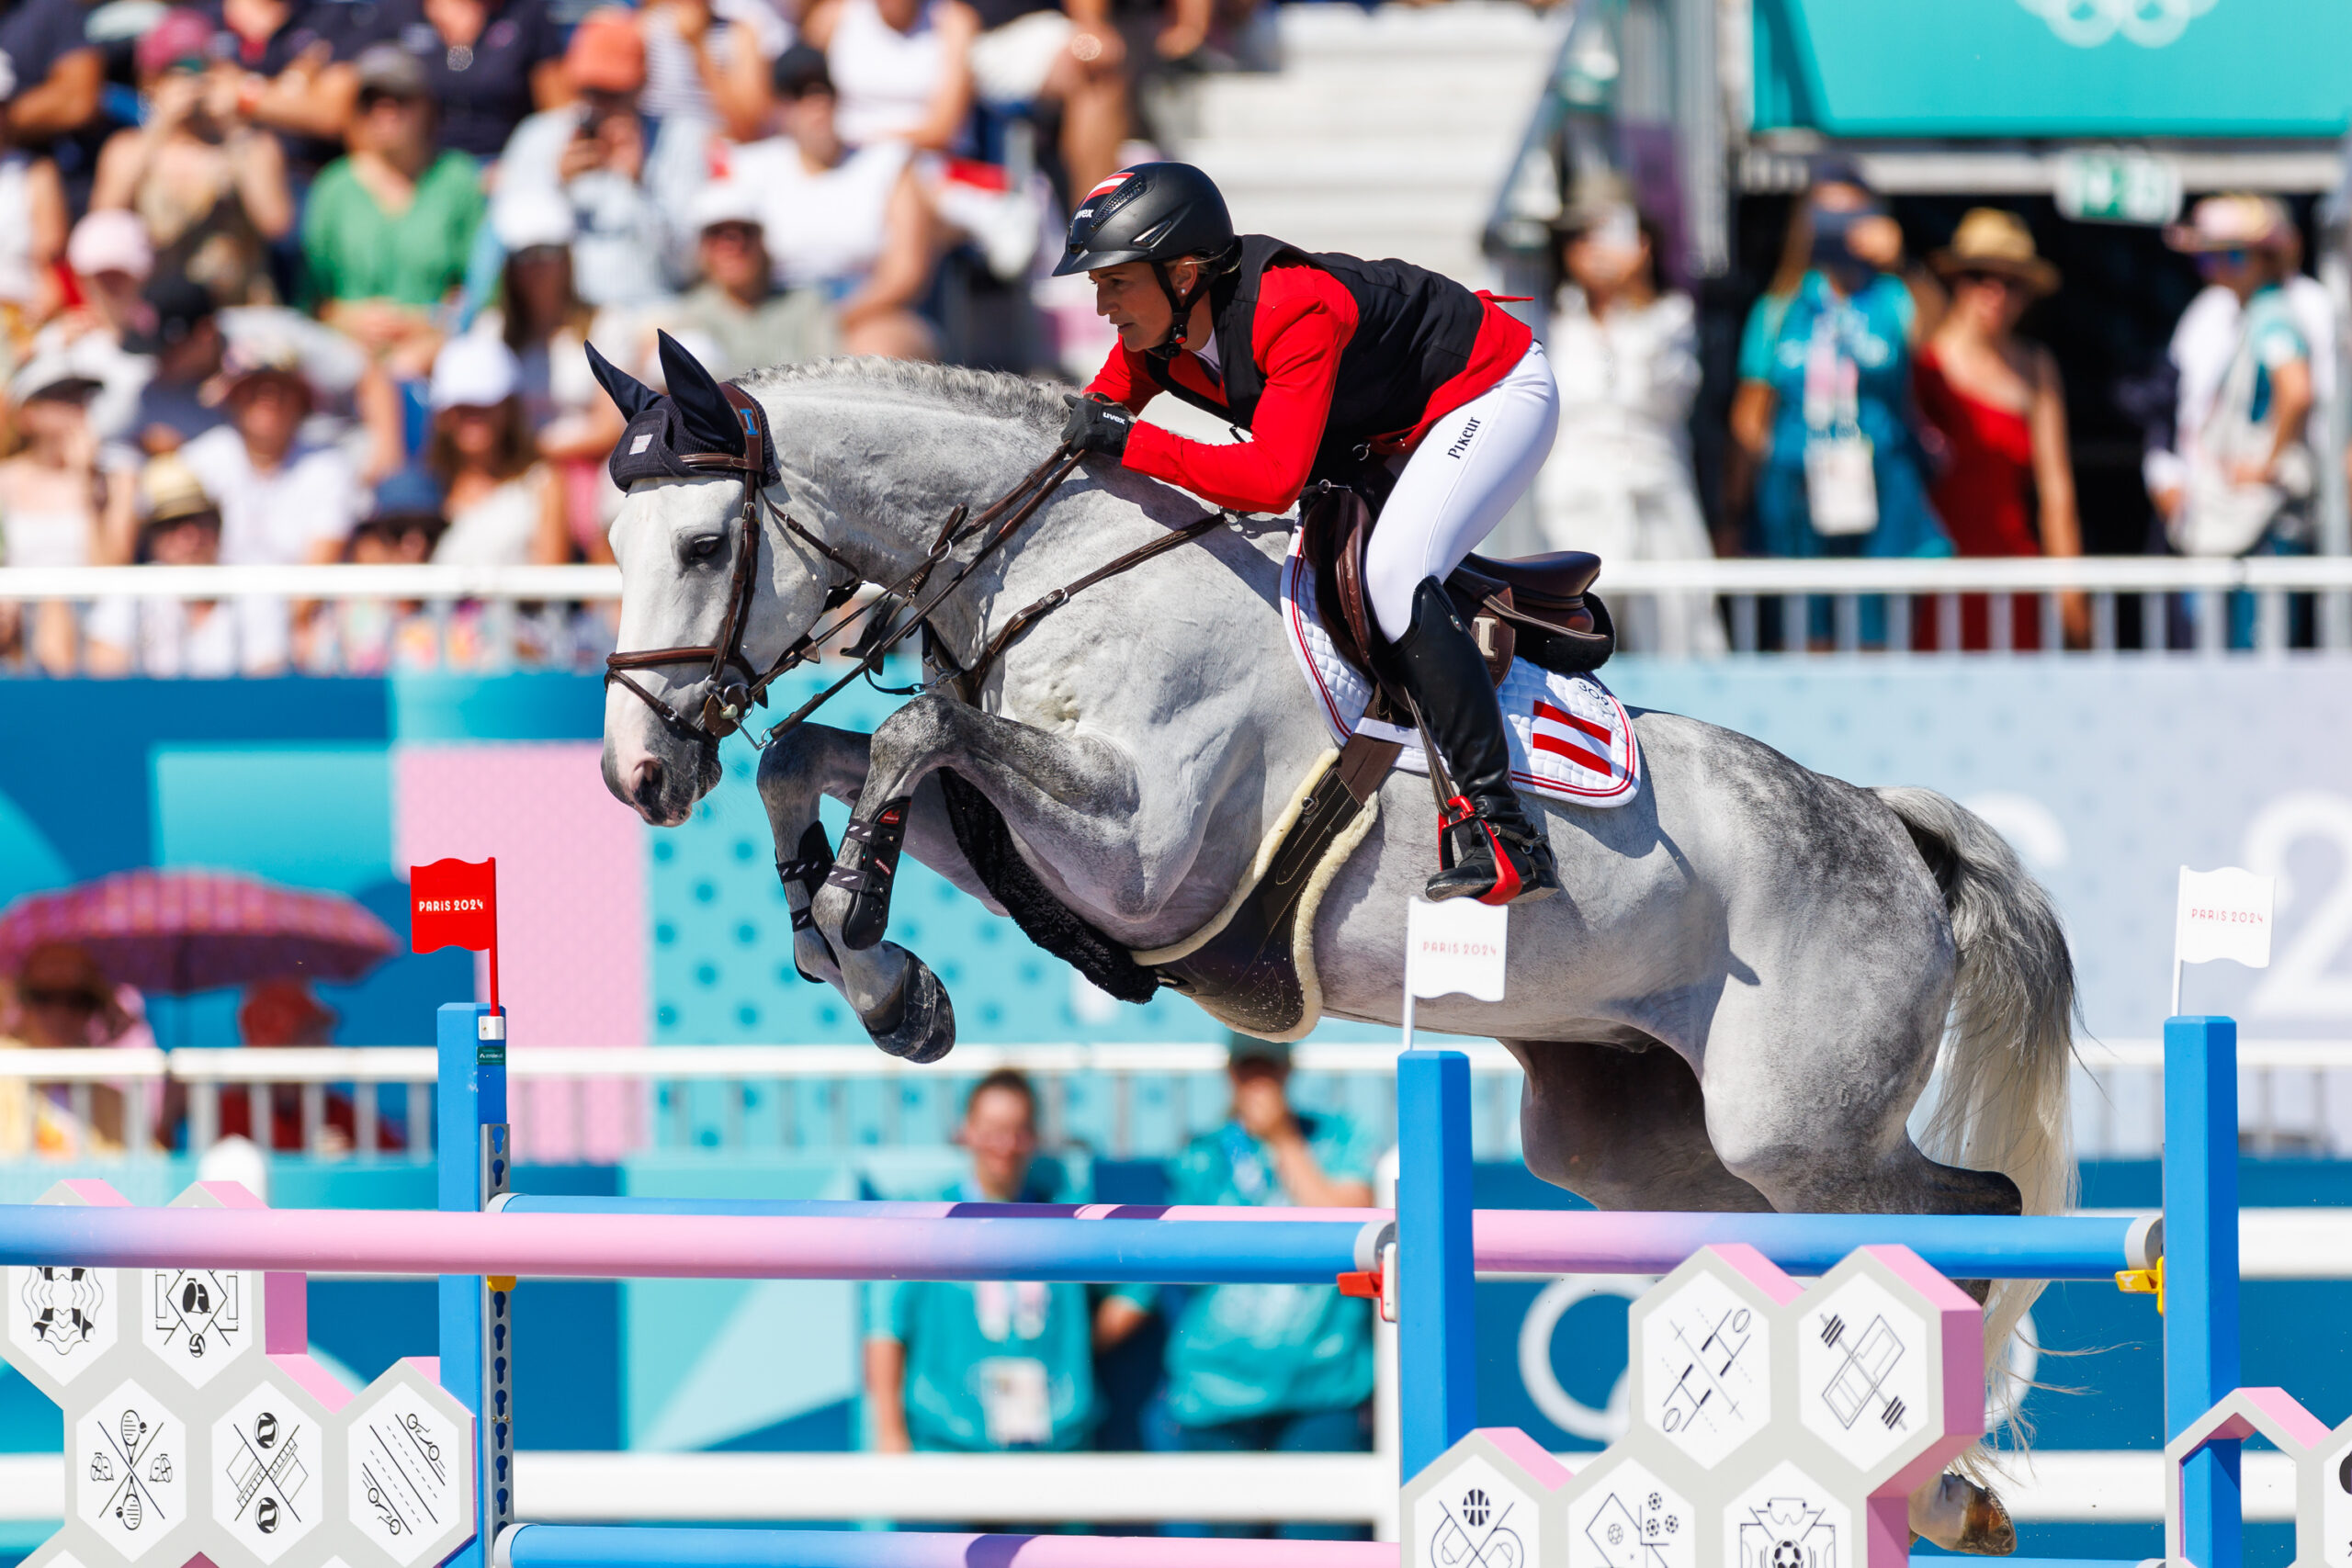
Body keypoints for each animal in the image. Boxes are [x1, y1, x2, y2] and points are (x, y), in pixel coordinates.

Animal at [602, 352, 2079, 1541]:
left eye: (700, 544)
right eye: (612, 542)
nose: (635, 776)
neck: (1055, 568)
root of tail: (1886, 823)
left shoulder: (1143, 856)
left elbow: (909, 734)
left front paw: (863, 925)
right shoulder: (1039, 836)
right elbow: (811, 753)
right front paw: (879, 978)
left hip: (1800, 1128)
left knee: (1977, 1213)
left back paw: (1938, 1478)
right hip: (1642, 1148)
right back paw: (1920, 1481)